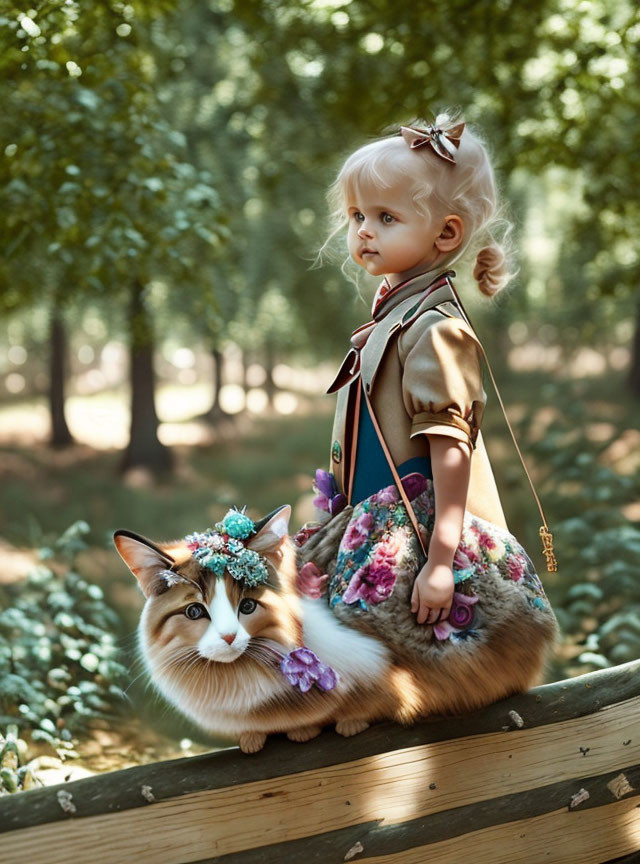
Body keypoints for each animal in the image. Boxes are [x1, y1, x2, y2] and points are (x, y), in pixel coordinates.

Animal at [116, 502, 560, 752]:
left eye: (247, 606)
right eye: (194, 613)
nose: (228, 638)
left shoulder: (389, 663)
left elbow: (378, 702)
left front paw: (326, 727)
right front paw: (252, 739)